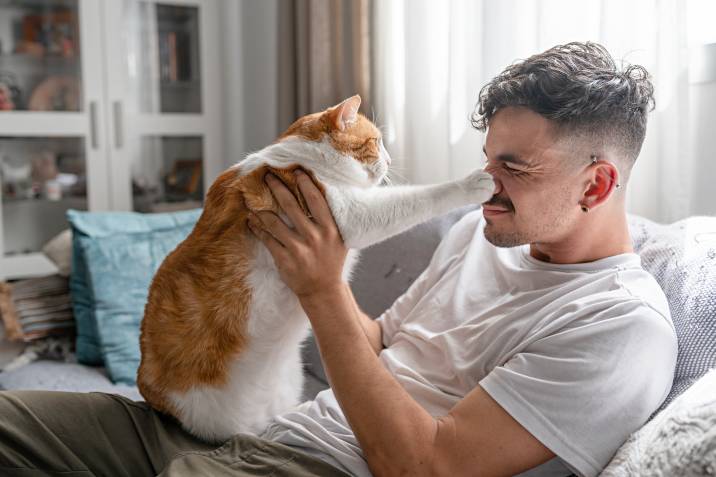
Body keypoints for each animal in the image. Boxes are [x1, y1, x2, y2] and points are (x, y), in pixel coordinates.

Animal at [139, 95, 496, 440]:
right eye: (376, 141)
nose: (391, 161)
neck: (305, 159)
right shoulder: (355, 215)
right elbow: (418, 197)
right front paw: (470, 185)